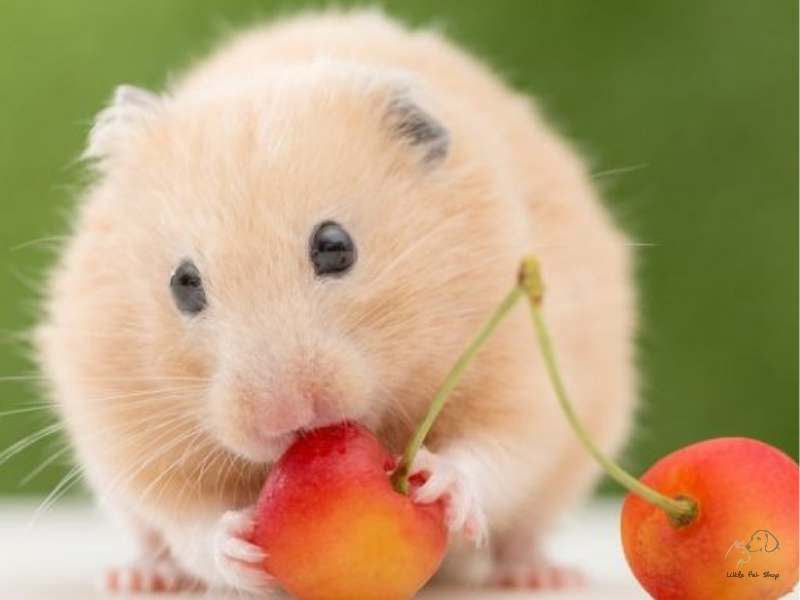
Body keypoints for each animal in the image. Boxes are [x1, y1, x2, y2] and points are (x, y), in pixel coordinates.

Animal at [37, 9, 636, 595]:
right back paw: (140, 577)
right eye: (182, 285)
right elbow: (186, 518)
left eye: (334, 246)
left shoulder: (523, 372)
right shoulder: (128, 428)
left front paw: (434, 482)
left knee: (525, 528)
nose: (284, 418)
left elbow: (498, 448)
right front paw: (240, 548)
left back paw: (541, 574)